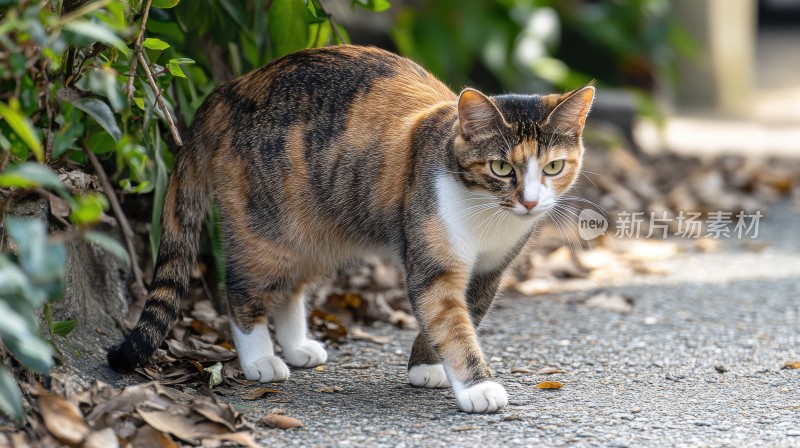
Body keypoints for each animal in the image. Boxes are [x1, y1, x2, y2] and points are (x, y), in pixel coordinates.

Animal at [108, 44, 592, 412]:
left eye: (553, 167)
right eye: (500, 167)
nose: (530, 201)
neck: (487, 217)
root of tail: (233, 87)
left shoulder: (489, 272)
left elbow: (461, 315)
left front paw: (426, 366)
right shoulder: (434, 263)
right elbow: (450, 321)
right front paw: (478, 386)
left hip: (315, 232)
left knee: (291, 288)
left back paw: (298, 346)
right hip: (267, 228)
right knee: (242, 287)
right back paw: (260, 359)